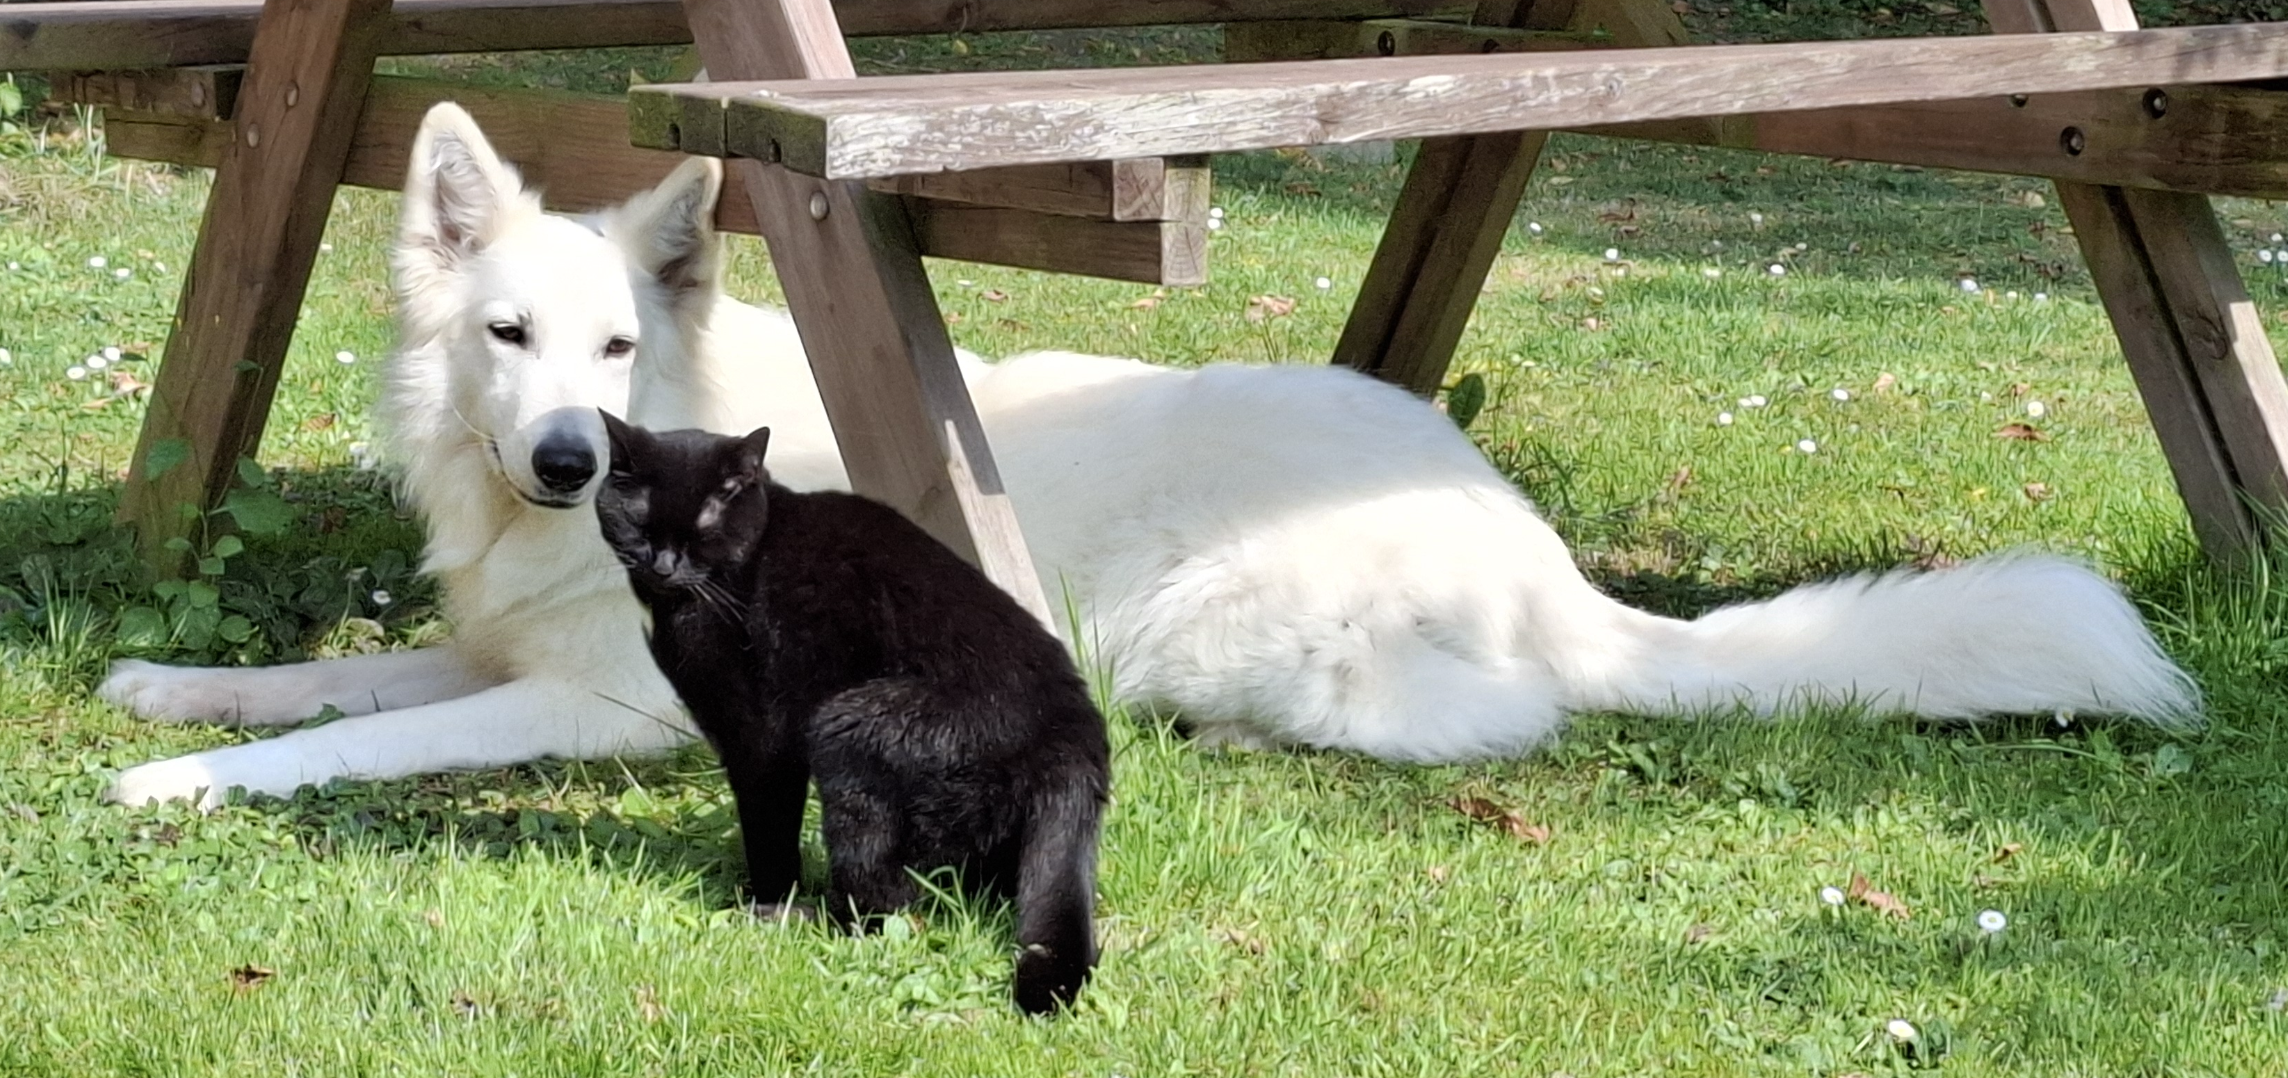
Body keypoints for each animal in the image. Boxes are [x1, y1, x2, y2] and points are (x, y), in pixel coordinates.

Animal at [102, 107, 2196, 810]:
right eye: (508, 337)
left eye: (618, 348)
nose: (554, 463)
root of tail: (1542, 561)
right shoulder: (496, 640)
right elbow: (333, 676)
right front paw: (166, 682)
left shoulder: (604, 710)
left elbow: (359, 741)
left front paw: (186, 780)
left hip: (1217, 629)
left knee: (1493, 723)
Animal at [594, 411, 1111, 1011]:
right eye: (640, 524)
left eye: (702, 529)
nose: (663, 566)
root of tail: (1072, 731)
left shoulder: (759, 739)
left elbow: (768, 830)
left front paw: (765, 898)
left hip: (851, 732)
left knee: (883, 905)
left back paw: (802, 918)